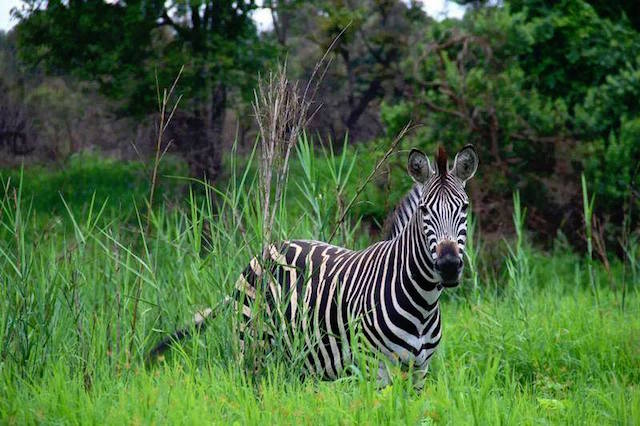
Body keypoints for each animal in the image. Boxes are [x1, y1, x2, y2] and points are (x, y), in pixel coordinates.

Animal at [152, 145, 478, 384]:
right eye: (424, 210)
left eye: (464, 208)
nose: (449, 266)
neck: (422, 302)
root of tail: (265, 252)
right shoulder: (375, 366)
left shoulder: (420, 369)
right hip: (251, 345)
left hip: (296, 359)